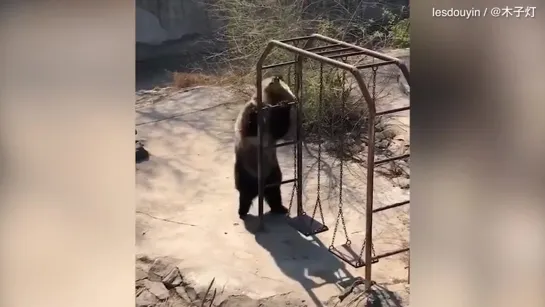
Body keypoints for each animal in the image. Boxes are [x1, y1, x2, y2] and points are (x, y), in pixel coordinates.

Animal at [232, 76, 296, 220]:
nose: (277, 77)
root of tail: (259, 185)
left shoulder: (272, 120)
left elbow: (279, 129)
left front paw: (284, 105)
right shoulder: (249, 112)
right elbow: (250, 127)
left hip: (273, 170)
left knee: (274, 190)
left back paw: (279, 208)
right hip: (245, 169)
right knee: (244, 191)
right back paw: (242, 210)